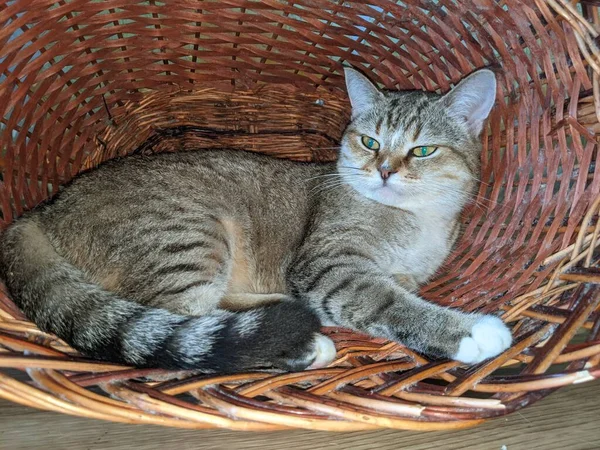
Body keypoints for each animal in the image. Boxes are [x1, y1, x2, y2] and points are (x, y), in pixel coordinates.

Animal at [0, 67, 510, 372]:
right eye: (369, 141)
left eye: (423, 150)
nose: (384, 170)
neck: (416, 220)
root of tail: (44, 210)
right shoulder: (330, 266)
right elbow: (385, 303)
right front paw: (468, 333)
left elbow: (392, 293)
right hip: (187, 238)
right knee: (188, 325)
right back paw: (301, 345)